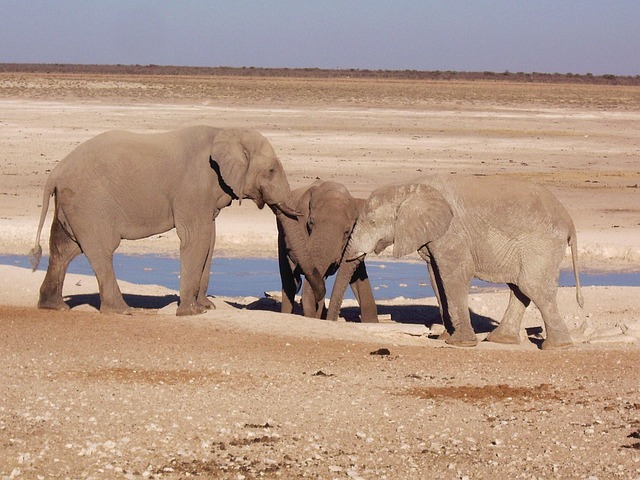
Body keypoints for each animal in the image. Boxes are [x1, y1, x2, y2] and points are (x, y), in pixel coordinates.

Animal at [29, 126, 325, 316]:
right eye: (271, 171)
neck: (227, 130)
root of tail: (55, 173)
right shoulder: (194, 185)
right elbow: (197, 238)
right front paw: (191, 312)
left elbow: (210, 240)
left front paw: (206, 308)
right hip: (91, 203)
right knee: (100, 250)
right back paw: (122, 311)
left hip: (74, 204)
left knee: (65, 249)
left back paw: (54, 307)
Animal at [327, 175, 584, 350]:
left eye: (372, 222)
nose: (329, 320)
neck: (411, 187)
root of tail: (569, 220)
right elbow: (436, 276)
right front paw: (445, 337)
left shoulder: (451, 233)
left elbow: (454, 273)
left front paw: (460, 343)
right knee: (520, 288)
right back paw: (500, 340)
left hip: (541, 245)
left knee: (533, 286)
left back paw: (556, 346)